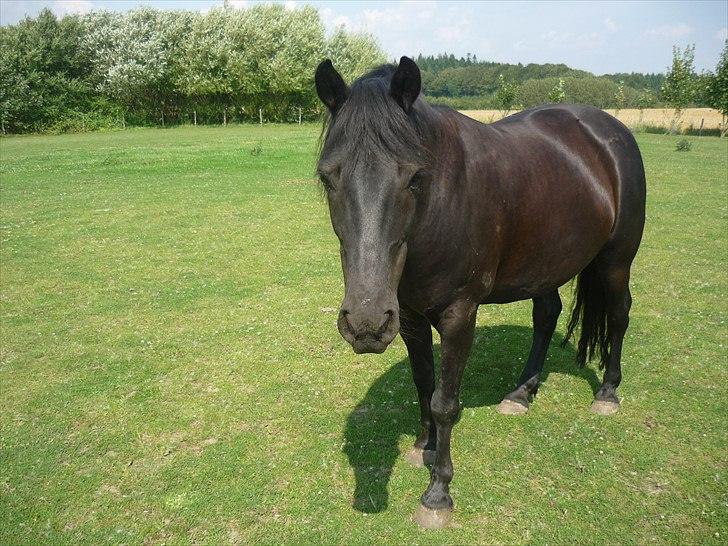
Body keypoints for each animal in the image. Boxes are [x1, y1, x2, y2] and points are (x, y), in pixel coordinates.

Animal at [312, 58, 644, 528]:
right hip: (546, 265)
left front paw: (438, 493)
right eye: (328, 178)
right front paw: (424, 446)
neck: (440, 205)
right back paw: (521, 393)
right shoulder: (409, 316)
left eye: (414, 177)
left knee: (618, 315)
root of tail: (610, 130)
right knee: (547, 315)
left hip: (616, 261)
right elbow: (423, 383)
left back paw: (608, 393)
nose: (366, 323)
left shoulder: (459, 315)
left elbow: (445, 401)